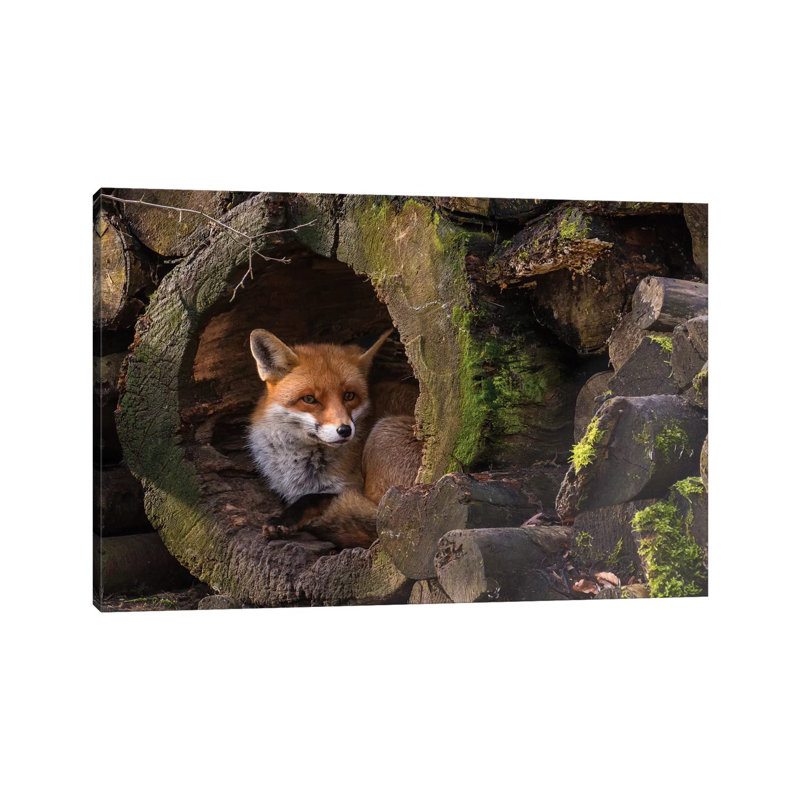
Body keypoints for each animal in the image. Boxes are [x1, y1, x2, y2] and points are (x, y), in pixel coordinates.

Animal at [247, 328, 423, 549]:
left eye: (349, 396)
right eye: (309, 399)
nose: (345, 430)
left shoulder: (349, 486)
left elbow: (311, 498)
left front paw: (283, 519)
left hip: (383, 438)